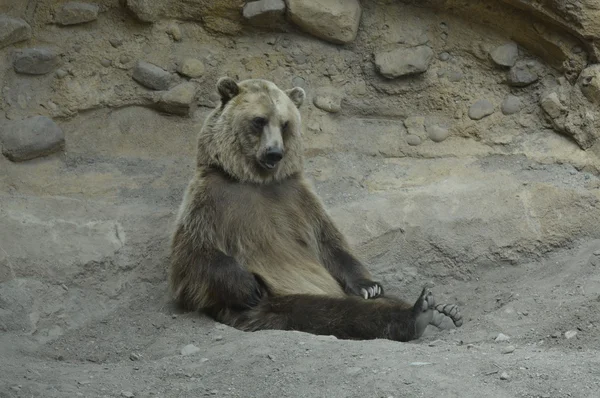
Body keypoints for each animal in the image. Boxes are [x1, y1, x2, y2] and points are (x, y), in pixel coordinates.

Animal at [169, 77, 464, 342]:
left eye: (285, 123)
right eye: (259, 120)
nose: (275, 153)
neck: (256, 180)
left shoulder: (298, 199)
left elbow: (330, 244)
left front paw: (369, 285)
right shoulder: (213, 199)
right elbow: (194, 255)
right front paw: (247, 285)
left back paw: (443, 312)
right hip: (278, 301)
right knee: (330, 311)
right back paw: (418, 314)